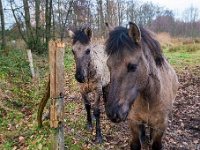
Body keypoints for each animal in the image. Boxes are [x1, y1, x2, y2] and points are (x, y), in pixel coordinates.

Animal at [104, 22, 178, 150]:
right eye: (109, 66)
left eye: (132, 66)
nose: (113, 112)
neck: (150, 97)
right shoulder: (134, 121)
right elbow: (135, 143)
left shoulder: (160, 126)